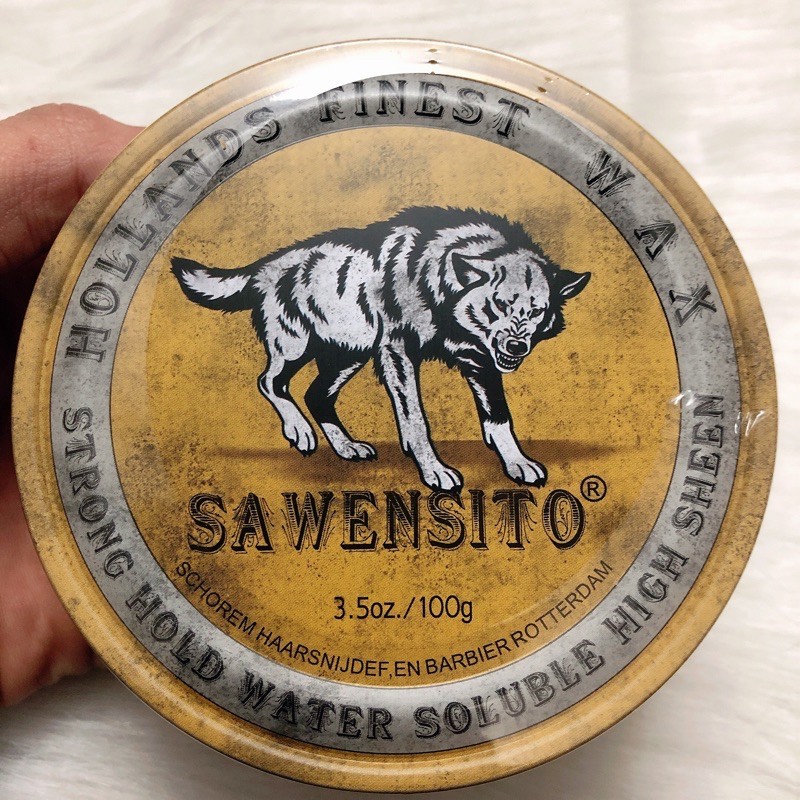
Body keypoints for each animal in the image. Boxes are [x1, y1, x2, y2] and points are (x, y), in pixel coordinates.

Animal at [171, 207, 590, 490]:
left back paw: (345, 447)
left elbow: (499, 417)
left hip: (348, 356)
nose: (517, 347)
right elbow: (416, 420)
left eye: (536, 311)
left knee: (315, 395)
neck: (436, 280)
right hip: (296, 348)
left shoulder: (480, 360)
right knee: (270, 383)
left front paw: (517, 462)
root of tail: (267, 264)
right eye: (499, 305)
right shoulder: (397, 352)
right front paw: (434, 471)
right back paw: (299, 431)